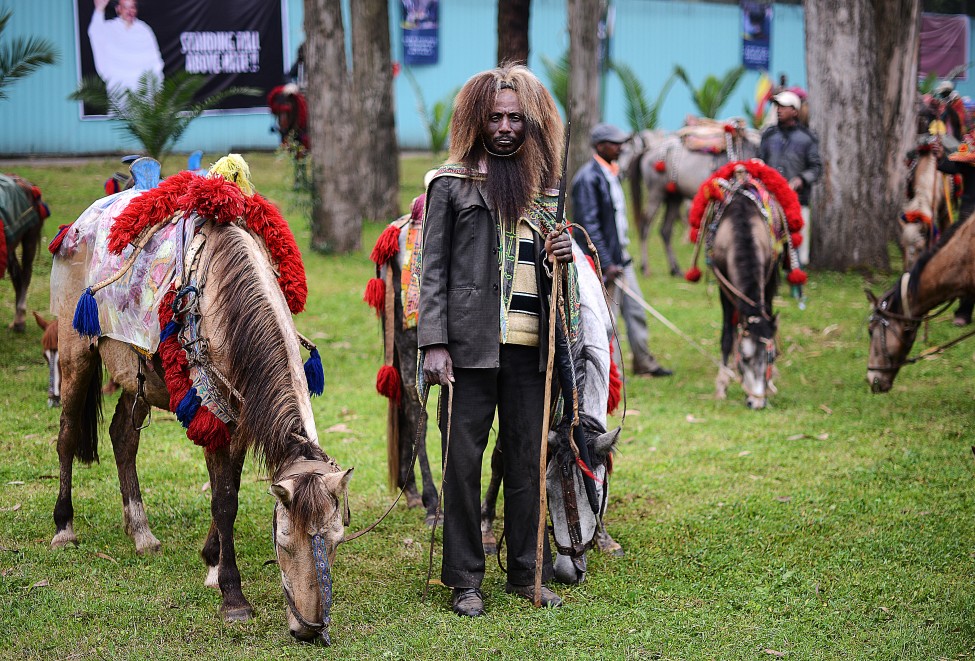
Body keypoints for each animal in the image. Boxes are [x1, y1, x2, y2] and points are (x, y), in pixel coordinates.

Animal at [47, 156, 350, 644]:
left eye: (336, 540)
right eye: (283, 542)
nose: (308, 630)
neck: (225, 305)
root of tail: (77, 225)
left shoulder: (240, 416)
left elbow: (231, 490)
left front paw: (211, 561)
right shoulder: (213, 414)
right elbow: (224, 500)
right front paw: (232, 595)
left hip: (140, 380)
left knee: (122, 438)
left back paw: (142, 533)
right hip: (76, 352)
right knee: (68, 435)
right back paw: (64, 528)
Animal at [620, 120, 768, 278]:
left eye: (627, 150)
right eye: (621, 151)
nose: (622, 172)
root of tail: (649, 151)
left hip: (674, 198)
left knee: (666, 230)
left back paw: (675, 269)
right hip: (656, 194)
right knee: (645, 226)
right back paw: (646, 267)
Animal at [684, 160, 804, 408]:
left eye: (771, 356)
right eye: (746, 358)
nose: (757, 403)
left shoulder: (767, 280)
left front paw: (771, 381)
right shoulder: (724, 288)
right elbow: (727, 336)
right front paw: (722, 385)